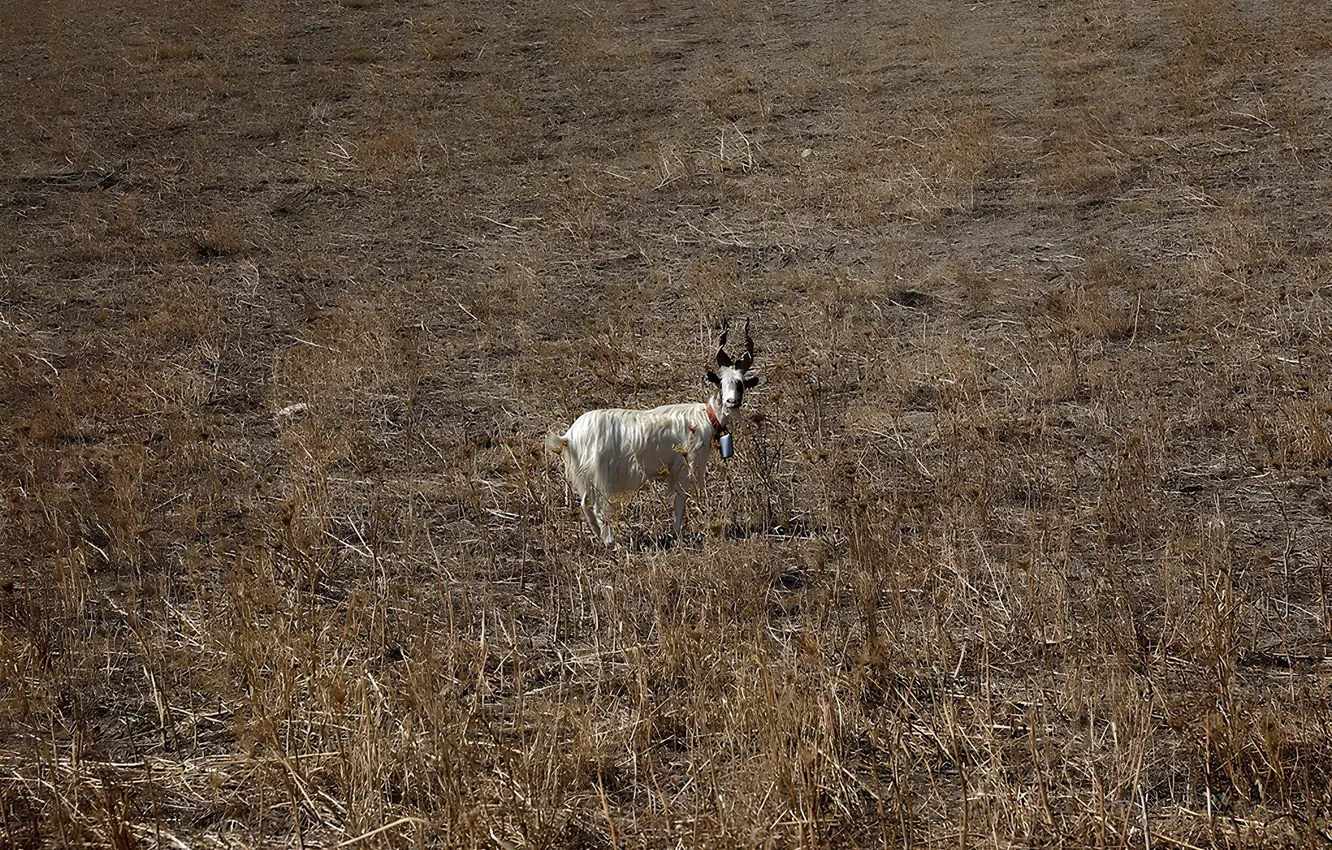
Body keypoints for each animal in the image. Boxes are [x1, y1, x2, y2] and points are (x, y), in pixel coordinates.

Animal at [548, 321, 760, 547]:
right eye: (721, 383)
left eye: (741, 384)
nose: (731, 401)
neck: (706, 417)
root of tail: (569, 436)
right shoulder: (685, 467)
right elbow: (680, 502)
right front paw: (676, 534)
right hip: (600, 475)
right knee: (597, 507)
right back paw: (613, 543)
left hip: (587, 475)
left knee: (585, 502)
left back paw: (599, 536)